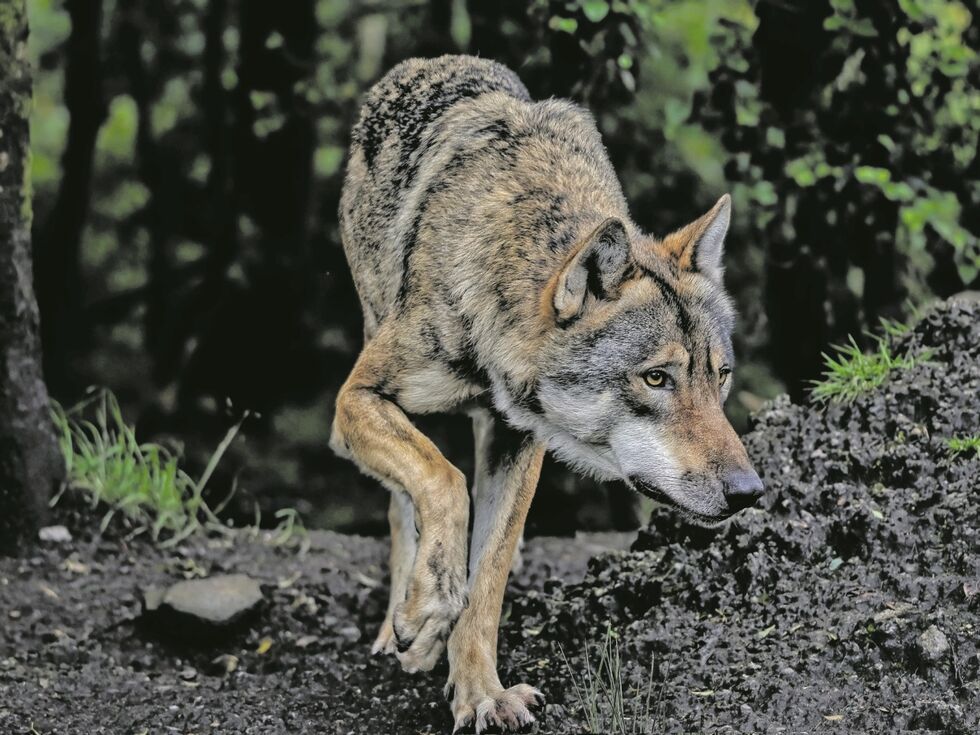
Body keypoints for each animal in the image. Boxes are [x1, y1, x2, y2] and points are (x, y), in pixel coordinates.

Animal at [331, 55, 763, 733]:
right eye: (656, 378)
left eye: (718, 376)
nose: (750, 492)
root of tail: (422, 64)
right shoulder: (356, 400)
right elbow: (443, 481)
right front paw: (426, 613)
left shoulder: (519, 441)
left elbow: (487, 581)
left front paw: (480, 694)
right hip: (372, 342)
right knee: (404, 503)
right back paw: (404, 623)